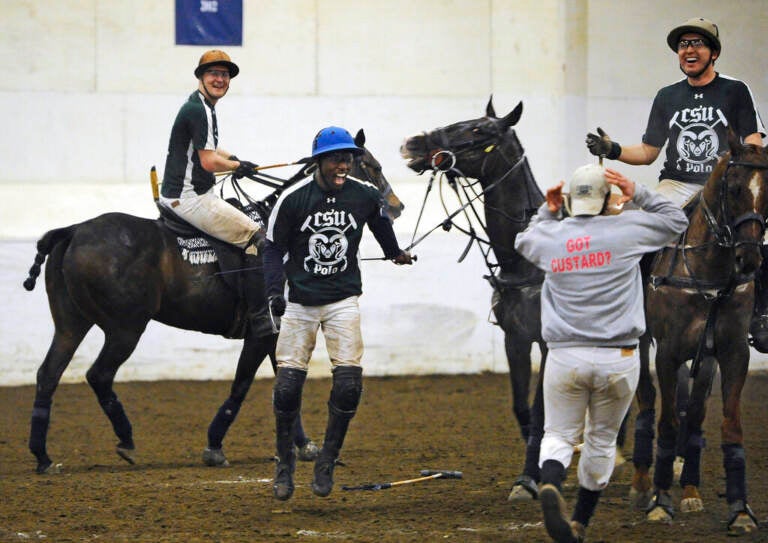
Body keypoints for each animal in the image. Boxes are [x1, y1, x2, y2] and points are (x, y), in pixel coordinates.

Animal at [21, 130, 402, 474]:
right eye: (371, 166)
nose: (397, 206)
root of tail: (73, 230)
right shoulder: (264, 330)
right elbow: (244, 386)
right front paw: (216, 446)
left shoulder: (279, 332)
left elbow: (284, 385)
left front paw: (304, 445)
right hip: (125, 328)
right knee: (98, 375)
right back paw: (126, 441)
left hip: (71, 323)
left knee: (48, 374)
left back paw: (43, 457)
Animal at [400, 96, 548, 498]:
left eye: (480, 130)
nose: (412, 144)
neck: (526, 257)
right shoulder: (516, 338)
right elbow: (522, 409)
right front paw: (529, 476)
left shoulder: (550, 343)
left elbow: (541, 410)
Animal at [632, 132, 764, 536]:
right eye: (734, 189)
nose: (749, 260)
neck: (709, 273)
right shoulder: (668, 352)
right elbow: (668, 421)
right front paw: (660, 502)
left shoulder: (731, 353)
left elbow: (723, 425)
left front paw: (739, 509)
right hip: (642, 344)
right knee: (646, 398)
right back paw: (642, 482)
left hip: (703, 359)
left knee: (694, 414)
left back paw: (687, 485)